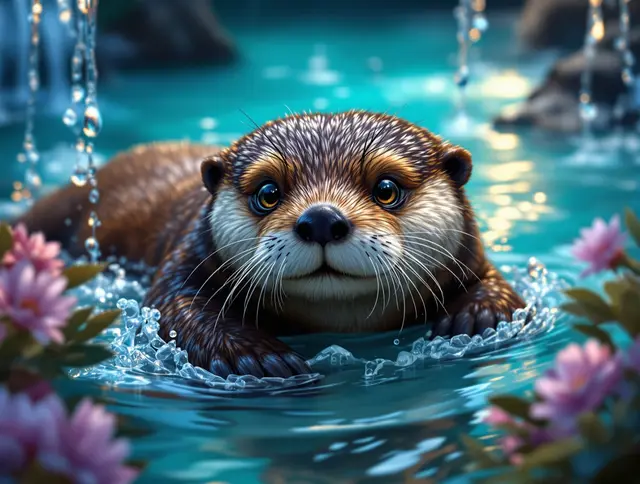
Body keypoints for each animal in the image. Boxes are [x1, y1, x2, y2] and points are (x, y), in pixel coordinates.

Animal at [18, 111, 525, 378]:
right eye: (268, 193)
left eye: (386, 189)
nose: (321, 218)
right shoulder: (183, 263)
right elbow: (173, 309)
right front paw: (260, 359)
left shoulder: (474, 259)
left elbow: (504, 291)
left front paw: (475, 315)